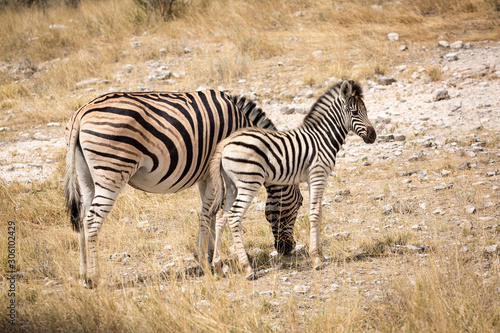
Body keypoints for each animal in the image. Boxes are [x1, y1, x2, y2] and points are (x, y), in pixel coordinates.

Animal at [64, 89, 302, 286]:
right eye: (299, 204)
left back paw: (83, 274)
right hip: (112, 170)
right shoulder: (215, 172)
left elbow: (211, 212)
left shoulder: (206, 176)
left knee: (82, 218)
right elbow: (209, 213)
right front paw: (207, 261)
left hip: (86, 176)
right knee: (92, 220)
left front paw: (207, 255)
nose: (288, 249)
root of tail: (81, 113)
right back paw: (94, 278)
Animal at [209, 80, 376, 278]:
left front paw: (321, 255)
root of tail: (225, 144)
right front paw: (316, 259)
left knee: (221, 217)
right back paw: (248, 269)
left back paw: (218, 265)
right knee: (234, 217)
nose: (373, 136)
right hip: (249, 182)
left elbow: (319, 212)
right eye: (355, 112)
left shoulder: (313, 178)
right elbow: (315, 213)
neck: (323, 137)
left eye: (365, 110)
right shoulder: (318, 175)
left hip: (231, 185)